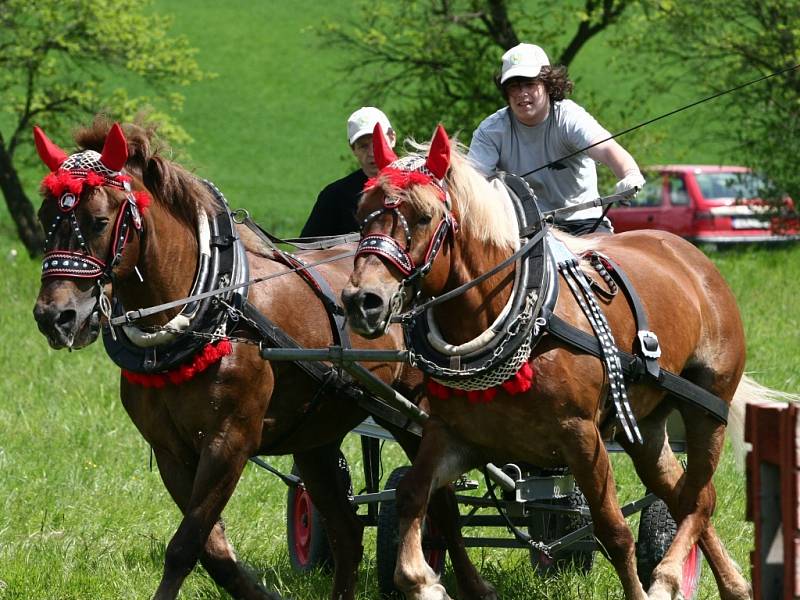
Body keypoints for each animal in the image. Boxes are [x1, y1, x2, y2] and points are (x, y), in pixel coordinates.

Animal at [31, 118, 496, 600]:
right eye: (45, 217)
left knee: (440, 506)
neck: (215, 311)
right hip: (315, 434)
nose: (55, 316)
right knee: (346, 530)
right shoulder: (170, 452)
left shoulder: (229, 441)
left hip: (415, 413)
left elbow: (185, 546)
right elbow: (211, 550)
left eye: (100, 221)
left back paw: (471, 586)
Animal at [342, 124, 756, 596]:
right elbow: (414, 493)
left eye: (425, 216)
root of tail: (693, 260)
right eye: (361, 212)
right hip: (646, 427)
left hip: (706, 407)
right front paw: (422, 579)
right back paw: (733, 585)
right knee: (688, 495)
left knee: (697, 500)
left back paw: (668, 577)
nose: (363, 301)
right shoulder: (454, 435)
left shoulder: (582, 437)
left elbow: (613, 530)